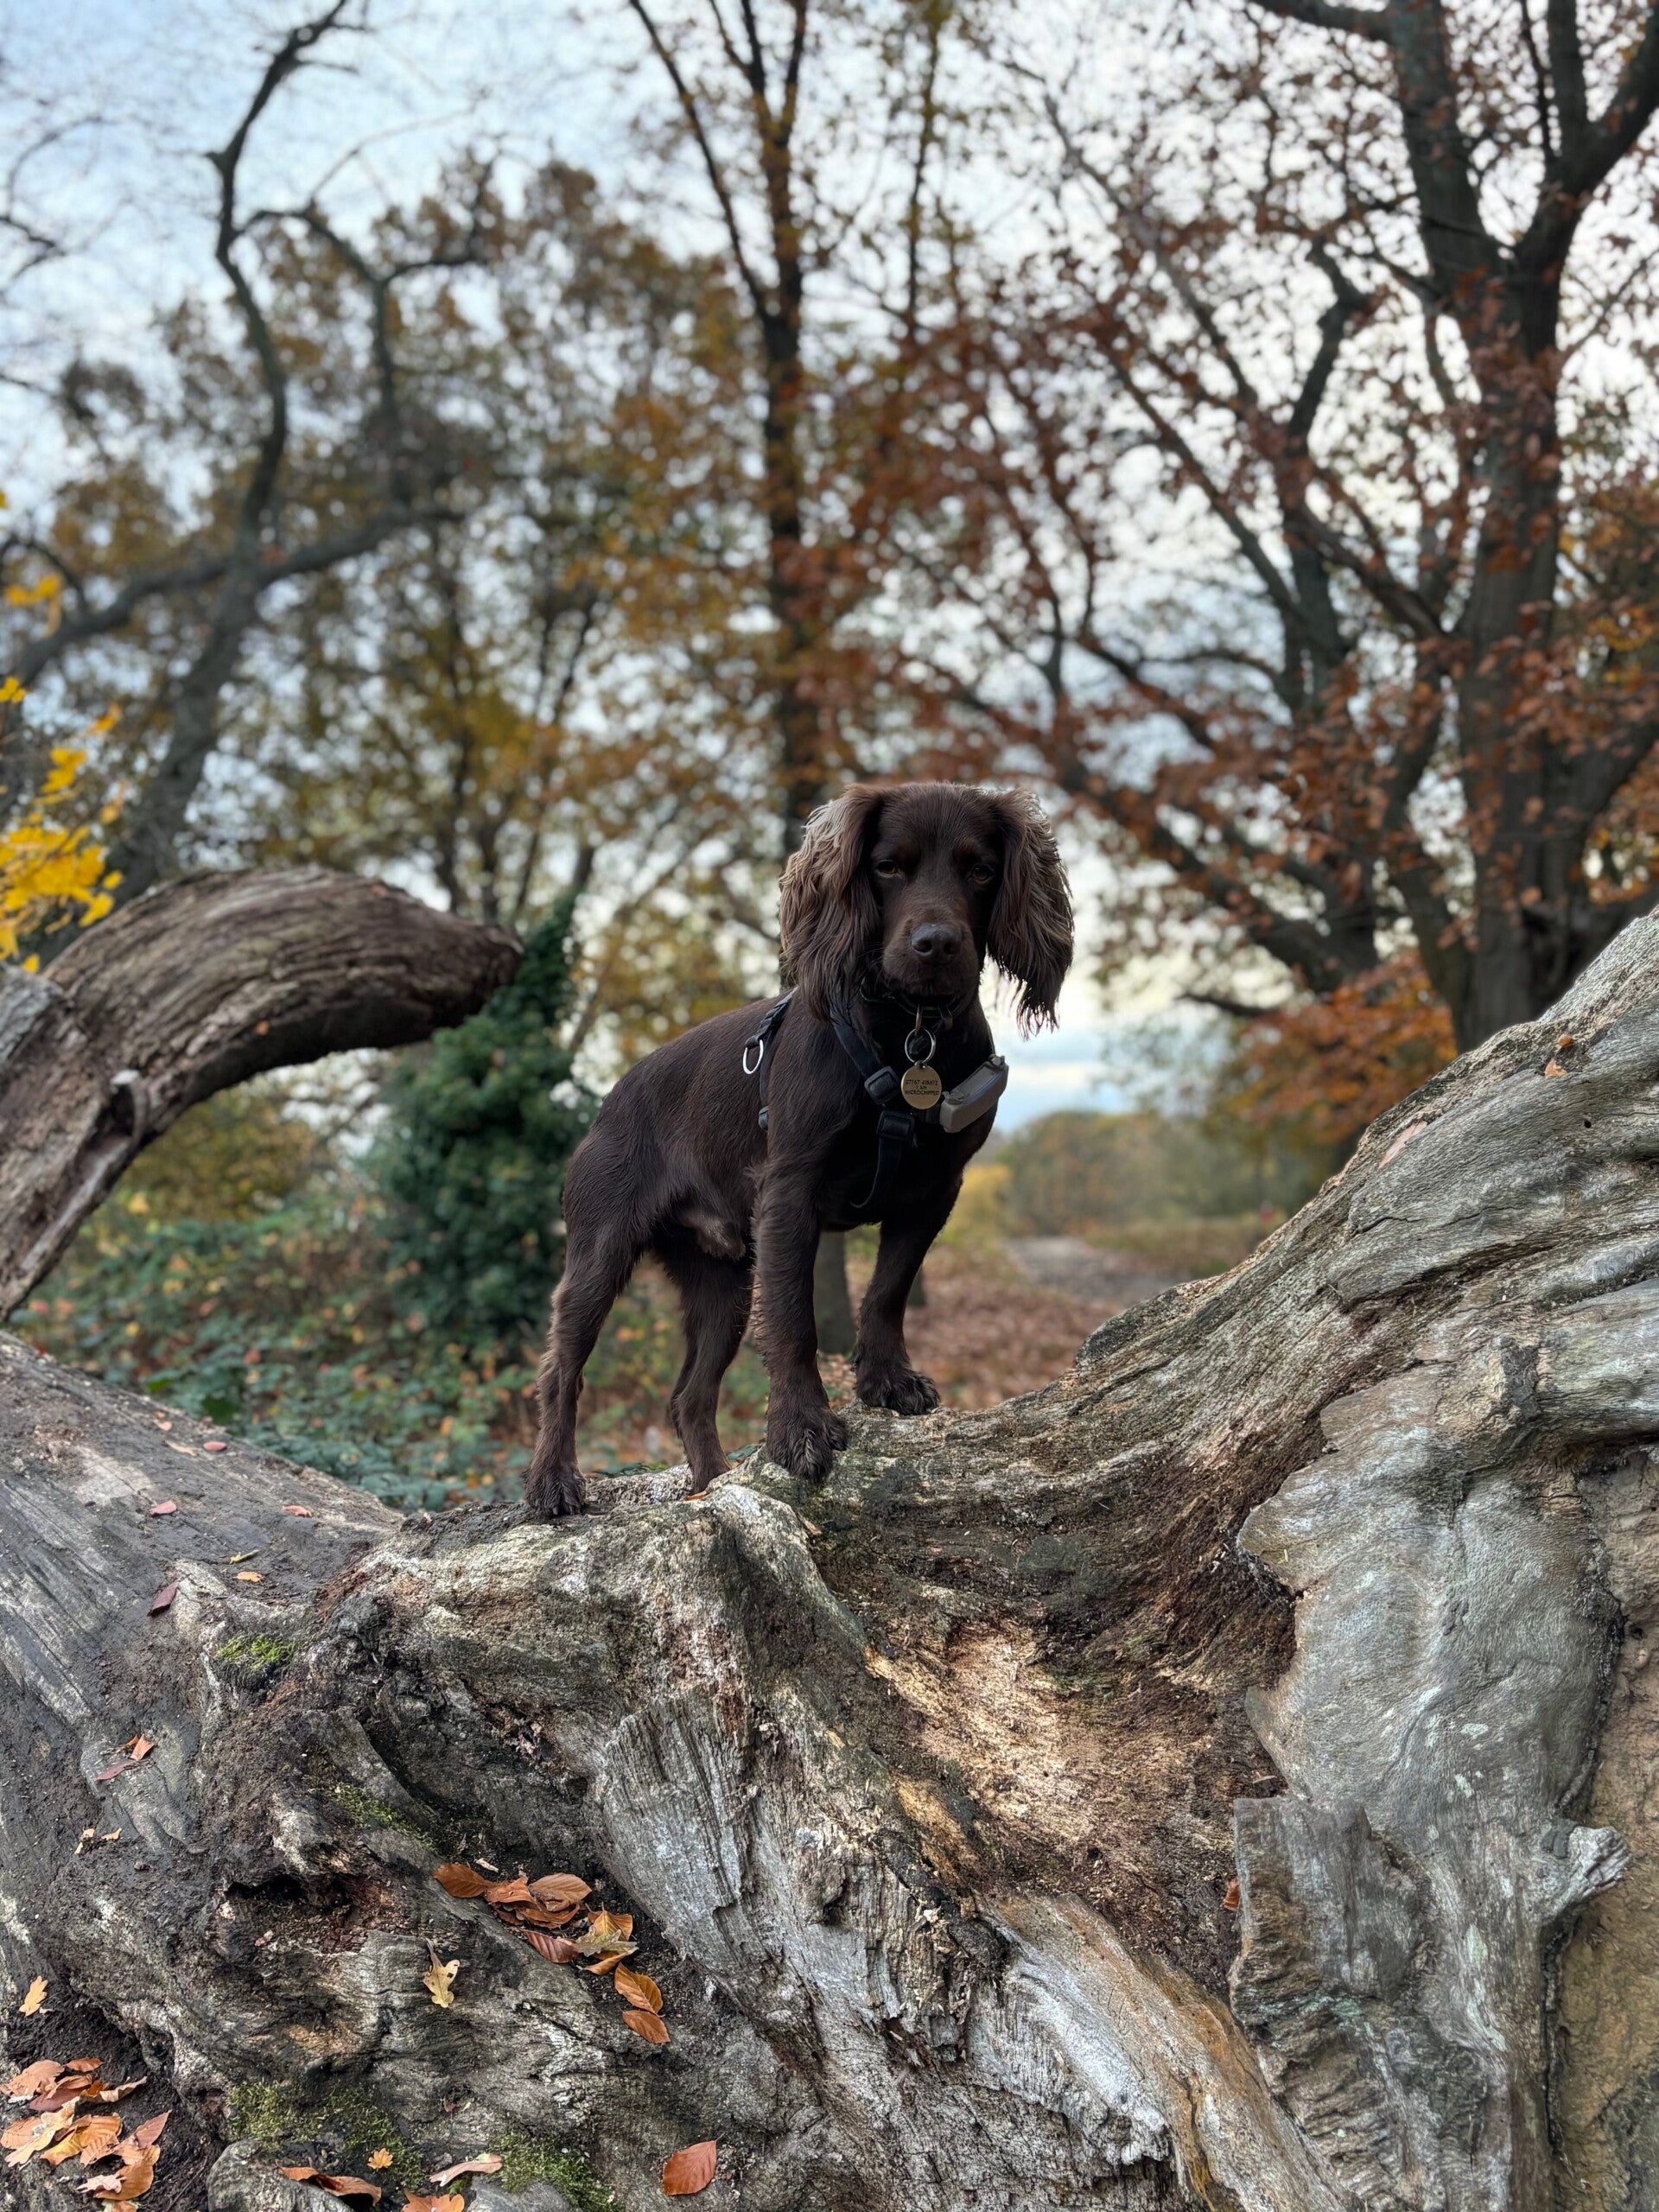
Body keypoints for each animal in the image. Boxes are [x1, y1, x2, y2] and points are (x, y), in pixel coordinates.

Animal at [524, 781, 1073, 1516]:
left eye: (981, 870)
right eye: (887, 867)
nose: (935, 944)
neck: (908, 1036)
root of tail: (611, 1097)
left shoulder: (934, 1192)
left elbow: (887, 1292)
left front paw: (887, 1380)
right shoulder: (789, 1193)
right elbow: (794, 1320)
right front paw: (801, 1430)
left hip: (723, 1286)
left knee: (688, 1399)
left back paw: (712, 1489)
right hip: (600, 1253)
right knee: (563, 1371)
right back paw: (554, 1481)